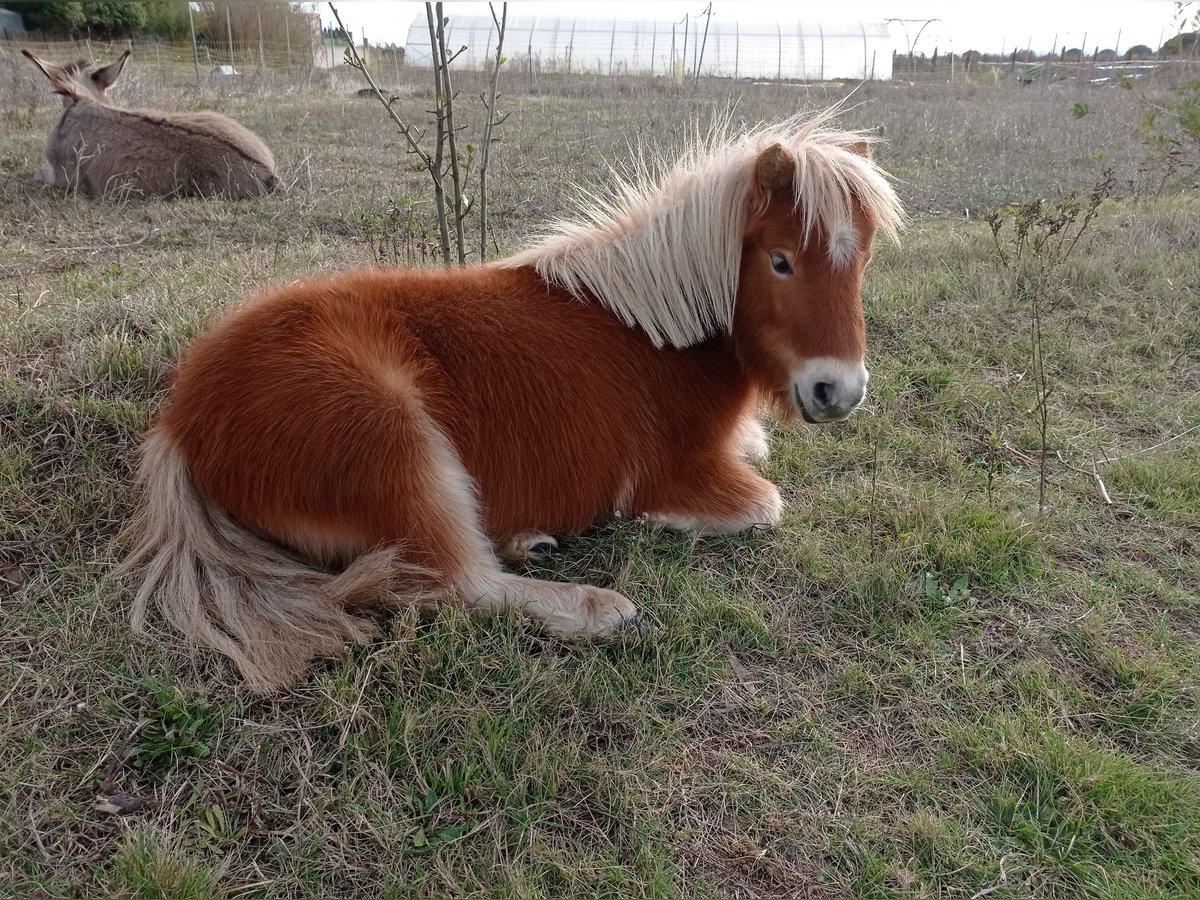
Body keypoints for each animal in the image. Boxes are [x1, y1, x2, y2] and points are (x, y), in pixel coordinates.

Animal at [124, 111, 902, 691]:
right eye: (780, 261)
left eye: (862, 261)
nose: (839, 392)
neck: (658, 327)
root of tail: (182, 419)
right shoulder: (683, 471)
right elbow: (765, 504)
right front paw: (657, 522)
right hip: (395, 437)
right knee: (459, 582)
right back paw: (595, 607)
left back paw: (527, 541)